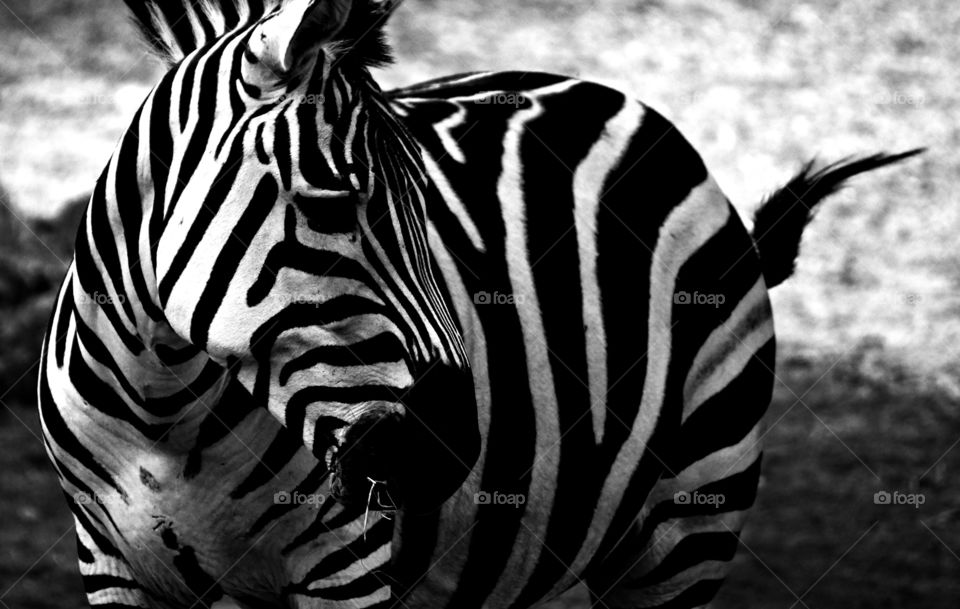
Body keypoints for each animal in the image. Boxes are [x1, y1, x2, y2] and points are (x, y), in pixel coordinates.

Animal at [37, 0, 921, 608]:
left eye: (428, 207)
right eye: (331, 203)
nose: (453, 445)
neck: (162, 409)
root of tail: (613, 97)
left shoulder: (344, 561)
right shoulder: (110, 562)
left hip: (691, 517)